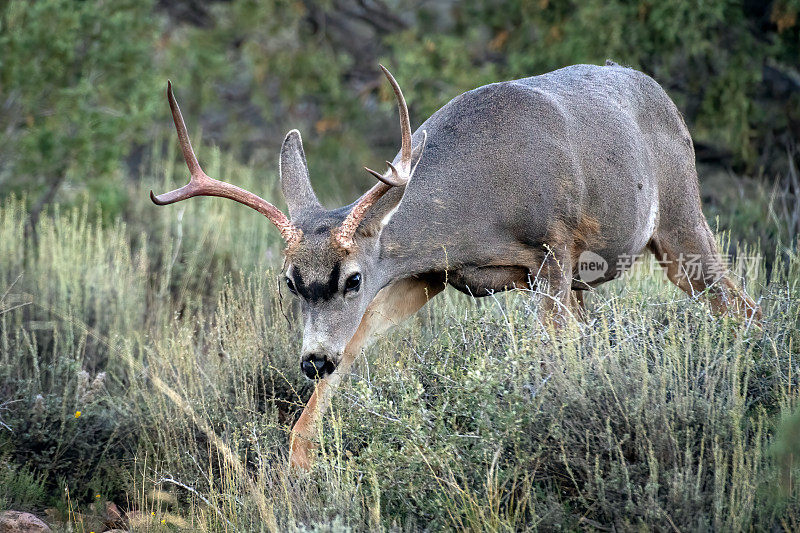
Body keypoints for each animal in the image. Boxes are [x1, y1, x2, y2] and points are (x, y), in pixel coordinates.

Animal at [152, 63, 764, 470]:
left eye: (352, 278)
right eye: (289, 282)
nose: (312, 360)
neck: (473, 210)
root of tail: (661, 93)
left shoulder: (555, 250)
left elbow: (555, 361)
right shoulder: (426, 276)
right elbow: (359, 344)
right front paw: (299, 458)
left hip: (682, 220)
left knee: (743, 307)